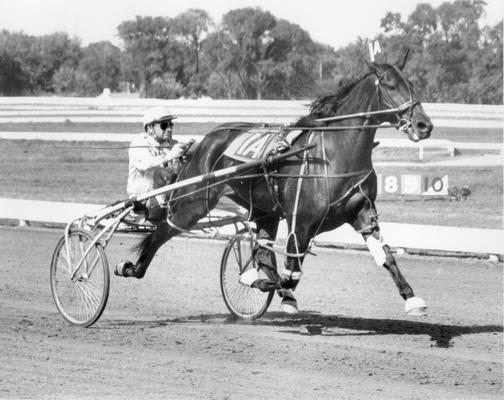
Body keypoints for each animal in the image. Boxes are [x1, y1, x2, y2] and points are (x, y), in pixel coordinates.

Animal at [117, 52, 434, 316]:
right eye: (390, 85)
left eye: (411, 84)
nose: (424, 125)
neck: (333, 155)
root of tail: (204, 142)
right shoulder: (301, 221)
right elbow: (290, 272)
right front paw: (264, 284)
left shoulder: (362, 212)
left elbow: (386, 256)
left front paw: (412, 298)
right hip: (194, 203)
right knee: (163, 230)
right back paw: (132, 267)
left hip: (264, 209)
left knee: (262, 247)